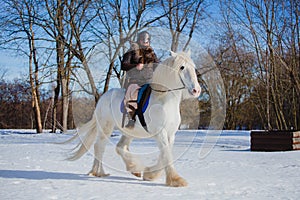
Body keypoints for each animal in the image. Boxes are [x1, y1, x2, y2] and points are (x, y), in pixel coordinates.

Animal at [69, 50, 200, 187]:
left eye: (193, 67)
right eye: (182, 67)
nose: (196, 90)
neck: (164, 101)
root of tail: (103, 97)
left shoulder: (170, 134)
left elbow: (165, 154)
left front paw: (150, 174)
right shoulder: (160, 133)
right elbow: (166, 155)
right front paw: (176, 180)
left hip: (128, 132)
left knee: (119, 147)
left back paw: (132, 169)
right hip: (106, 127)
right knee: (99, 146)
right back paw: (99, 172)